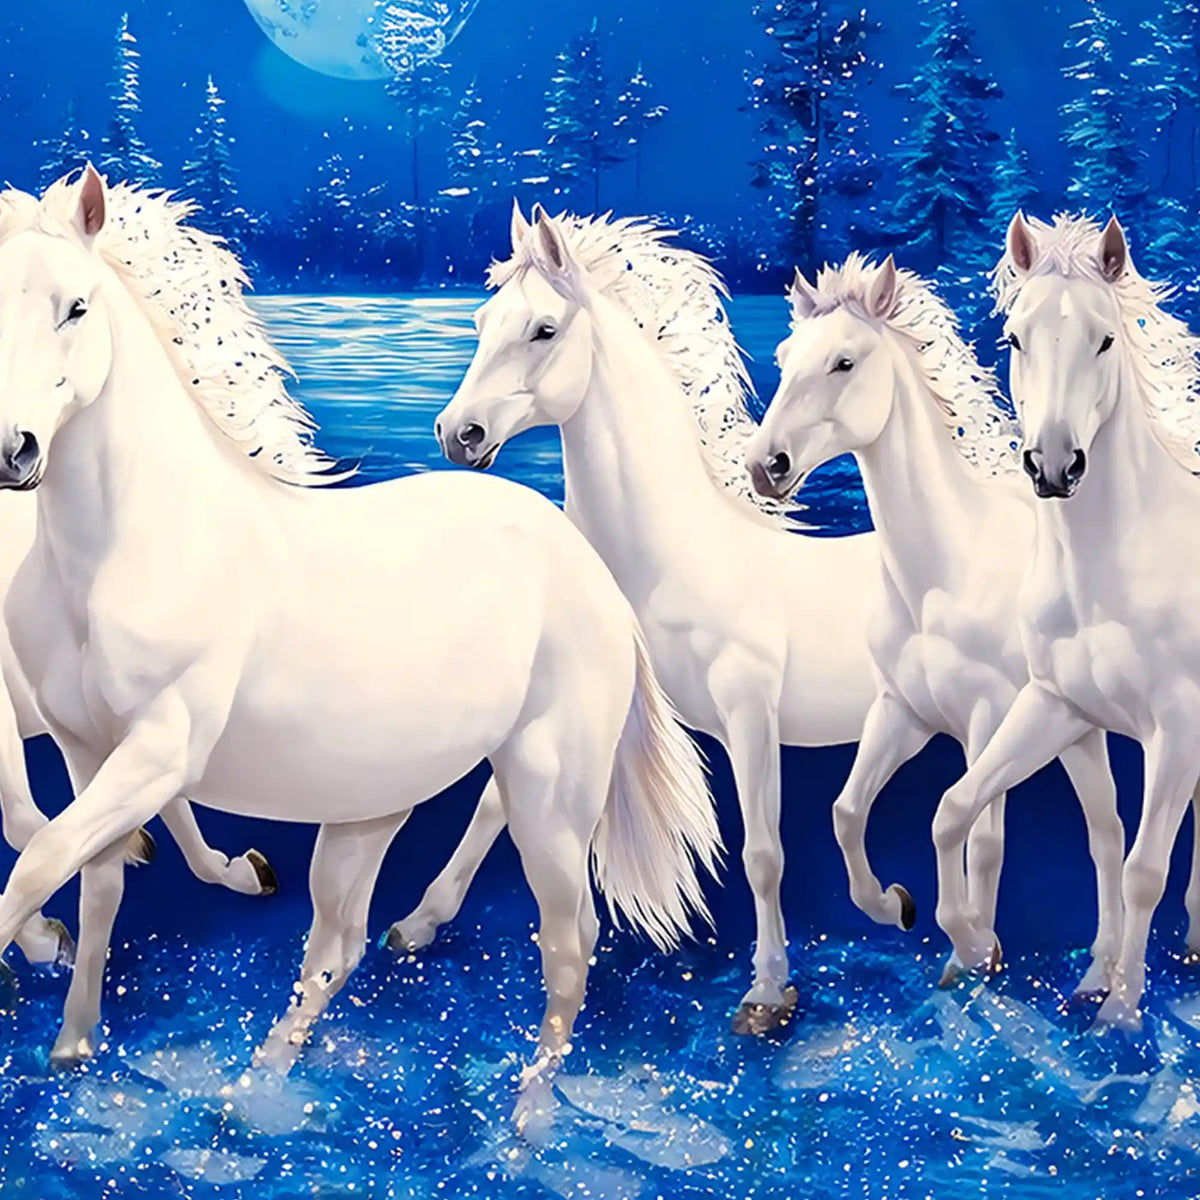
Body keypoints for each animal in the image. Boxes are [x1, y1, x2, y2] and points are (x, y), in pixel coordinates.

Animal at [0, 166, 721, 1125]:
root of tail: (590, 571)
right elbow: (94, 877)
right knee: (337, 946)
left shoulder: (158, 751)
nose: (13, 451)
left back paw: (523, 1126)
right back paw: (261, 1082)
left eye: (76, 307)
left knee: (569, 945)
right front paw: (75, 1044)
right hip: (369, 807)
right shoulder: (87, 752)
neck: (124, 546)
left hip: (550, 792)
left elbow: (37, 863)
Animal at [427, 202, 879, 1034]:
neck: (675, 559)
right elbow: (491, 805)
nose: (457, 433)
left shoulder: (750, 714)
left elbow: (763, 854)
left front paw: (768, 994)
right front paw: (417, 920)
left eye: (543, 329)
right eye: (480, 322)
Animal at [745, 252, 1126, 993]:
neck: (946, 570)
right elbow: (847, 813)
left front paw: (975, 942)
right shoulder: (903, 713)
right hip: (1076, 733)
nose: (764, 466)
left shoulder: (987, 719)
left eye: (844, 361)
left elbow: (978, 835)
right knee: (1107, 833)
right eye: (782, 357)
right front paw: (897, 905)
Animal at [931, 211, 1200, 1028]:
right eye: (1016, 338)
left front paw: (1123, 1013)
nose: (1054, 468)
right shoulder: (1056, 708)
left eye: (1105, 340)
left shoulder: (1176, 732)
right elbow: (957, 808)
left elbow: (1144, 868)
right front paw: (970, 949)